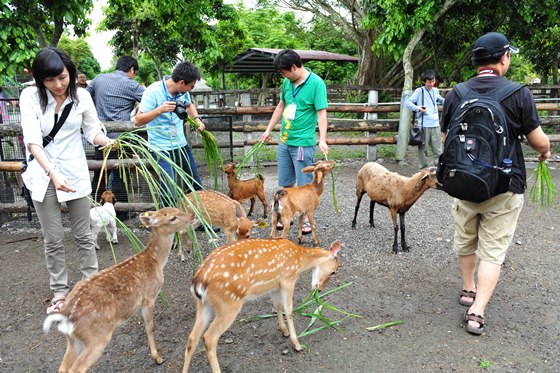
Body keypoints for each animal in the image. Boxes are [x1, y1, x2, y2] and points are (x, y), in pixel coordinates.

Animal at [43, 208, 197, 370]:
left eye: (177, 209)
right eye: (172, 218)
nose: (192, 215)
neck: (156, 261)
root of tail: (65, 316)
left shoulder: (139, 304)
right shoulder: (149, 297)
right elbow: (150, 327)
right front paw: (157, 358)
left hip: (72, 340)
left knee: (63, 367)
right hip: (97, 337)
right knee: (76, 368)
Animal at [184, 238, 342, 372]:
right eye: (333, 272)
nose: (319, 289)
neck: (300, 258)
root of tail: (198, 281)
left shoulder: (275, 285)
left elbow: (277, 306)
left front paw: (284, 331)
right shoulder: (288, 279)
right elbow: (289, 309)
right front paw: (297, 344)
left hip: (204, 305)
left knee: (192, 338)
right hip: (229, 303)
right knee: (209, 337)